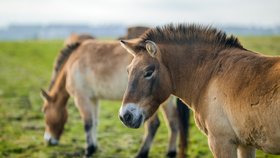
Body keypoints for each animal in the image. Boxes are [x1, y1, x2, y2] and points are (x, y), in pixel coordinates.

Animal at [41, 32, 188, 157]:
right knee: (173, 121)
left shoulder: (82, 98)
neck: (73, 62)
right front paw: (94, 147)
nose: (48, 140)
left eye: (44, 111)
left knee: (153, 125)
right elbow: (95, 122)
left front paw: (89, 150)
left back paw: (141, 153)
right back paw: (170, 152)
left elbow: (88, 123)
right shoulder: (94, 99)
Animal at [119, 23, 280, 158]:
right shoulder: (245, 144)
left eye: (148, 72)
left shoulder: (221, 143)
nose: (125, 116)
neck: (210, 76)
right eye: (128, 71)